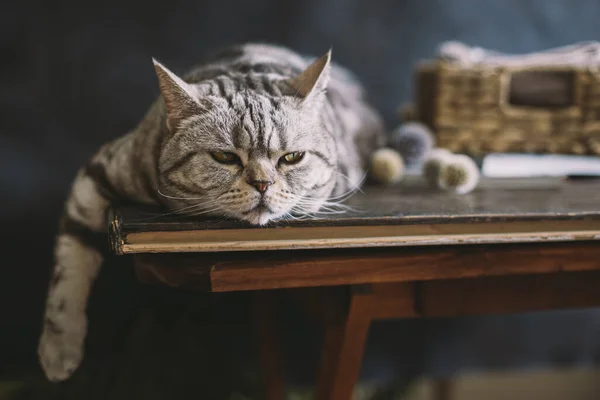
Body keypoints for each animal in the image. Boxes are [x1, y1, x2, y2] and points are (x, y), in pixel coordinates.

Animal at [38, 43, 384, 382]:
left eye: (292, 157)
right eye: (224, 157)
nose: (262, 183)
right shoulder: (99, 174)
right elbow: (69, 268)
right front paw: (59, 344)